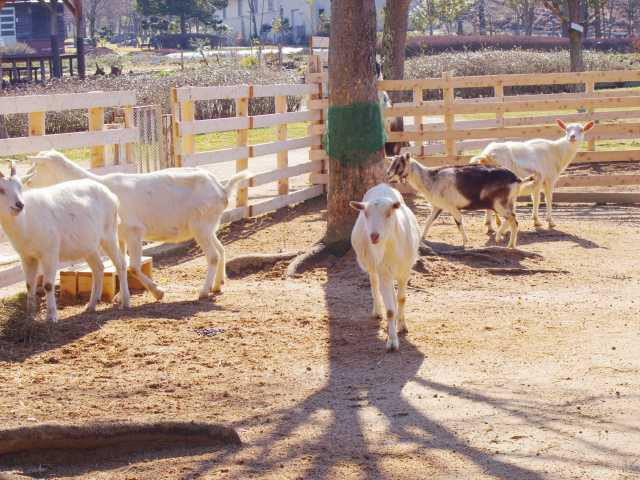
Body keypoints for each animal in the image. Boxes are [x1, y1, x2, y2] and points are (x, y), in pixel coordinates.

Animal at [0, 161, 129, 322]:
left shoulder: (50, 251)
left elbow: (48, 285)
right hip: (88, 245)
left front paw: (51, 317)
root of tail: (112, 196)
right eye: (1, 189)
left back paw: (125, 302)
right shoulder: (26, 256)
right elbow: (29, 284)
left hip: (109, 234)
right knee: (98, 268)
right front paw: (30, 316)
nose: (19, 205)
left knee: (121, 264)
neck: (27, 220)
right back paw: (91, 305)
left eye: (20, 187)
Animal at [24, 150, 250, 300]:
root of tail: (222, 189)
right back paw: (217, 286)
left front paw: (158, 292)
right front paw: (120, 298)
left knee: (212, 256)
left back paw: (203, 292)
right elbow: (121, 265)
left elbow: (133, 266)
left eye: (37, 166)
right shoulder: (119, 235)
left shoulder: (134, 232)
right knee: (220, 250)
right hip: (209, 225)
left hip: (201, 226)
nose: (25, 182)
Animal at [350, 182, 420, 350]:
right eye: (366, 214)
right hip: (372, 265)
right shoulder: (384, 272)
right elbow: (389, 311)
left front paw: (402, 326)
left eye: (389, 213)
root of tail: (382, 185)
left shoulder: (405, 271)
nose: (374, 236)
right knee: (374, 284)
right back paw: (377, 311)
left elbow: (402, 299)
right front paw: (392, 342)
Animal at [388, 154, 532, 249]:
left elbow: (458, 223)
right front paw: (422, 237)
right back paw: (509, 244)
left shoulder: (452, 207)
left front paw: (465, 242)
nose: (388, 175)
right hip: (508, 203)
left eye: (398, 164)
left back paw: (500, 238)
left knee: (512, 219)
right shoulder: (437, 207)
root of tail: (517, 179)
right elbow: (428, 221)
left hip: (499, 204)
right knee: (513, 221)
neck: (430, 179)